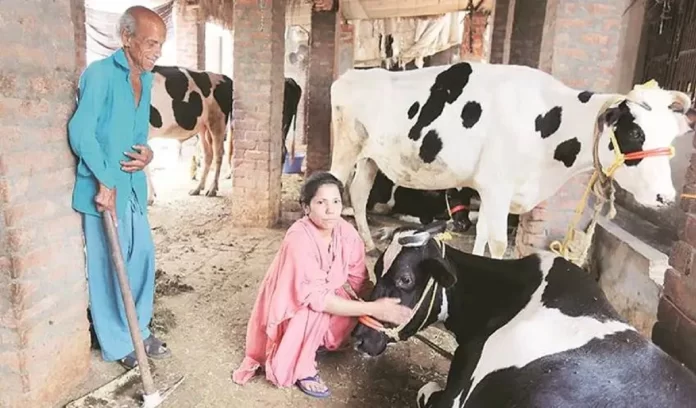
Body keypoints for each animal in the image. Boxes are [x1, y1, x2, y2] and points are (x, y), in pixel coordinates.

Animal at [330, 61, 696, 256]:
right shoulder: (497, 187)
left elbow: (481, 234)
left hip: (371, 157)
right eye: (635, 133)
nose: (665, 197)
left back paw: (368, 244)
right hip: (346, 147)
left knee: (359, 194)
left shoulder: (491, 192)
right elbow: (496, 241)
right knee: (335, 184)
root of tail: (354, 72)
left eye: (672, 137)